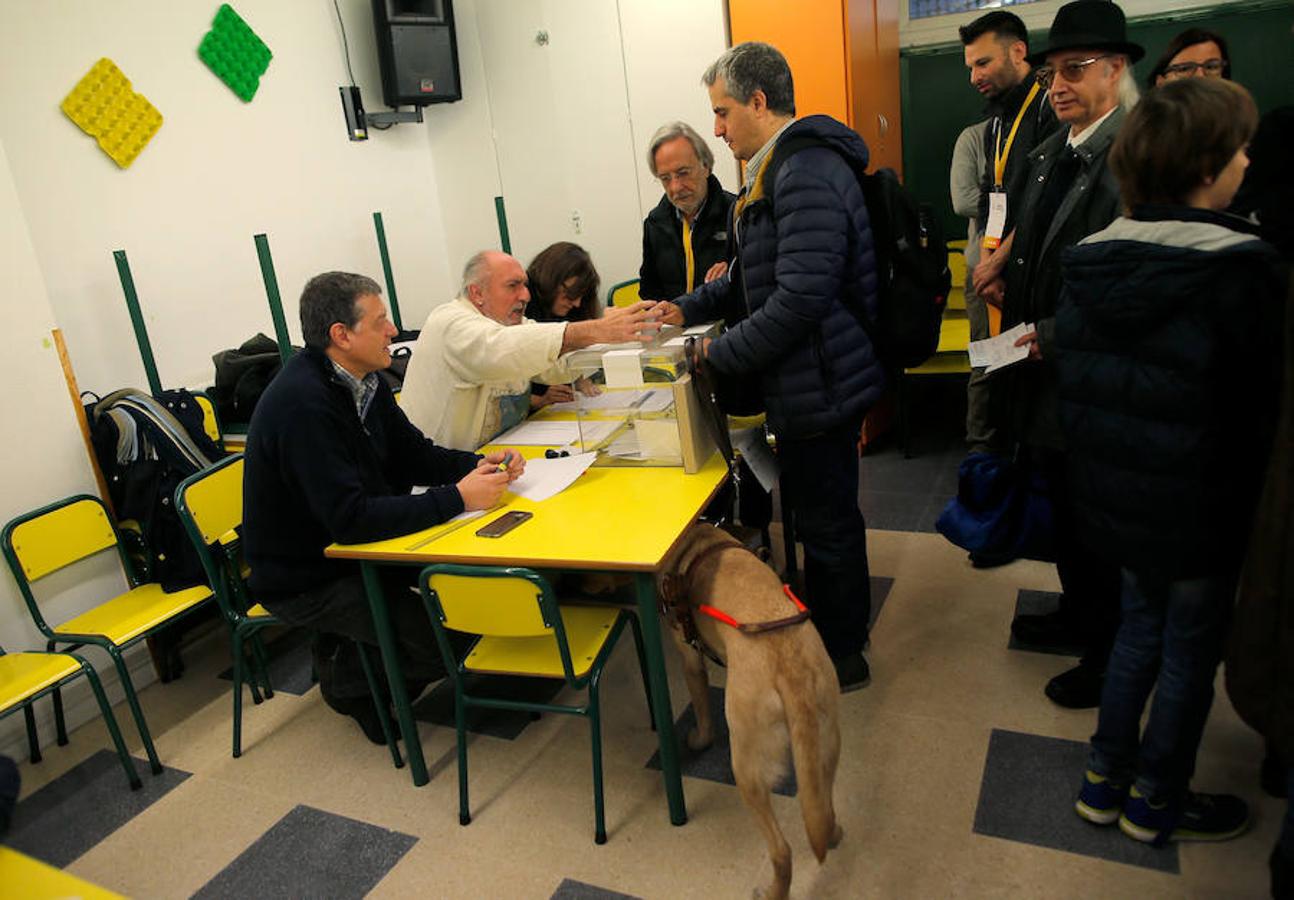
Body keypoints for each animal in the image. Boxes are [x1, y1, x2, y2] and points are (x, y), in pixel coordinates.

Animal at [662, 519, 843, 900]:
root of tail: (791, 669)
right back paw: (833, 835)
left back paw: (773, 891)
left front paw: (698, 740)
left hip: (747, 767)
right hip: (825, 746)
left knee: (782, 850)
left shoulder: (689, 658)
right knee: (824, 812)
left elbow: (701, 710)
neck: (699, 539)